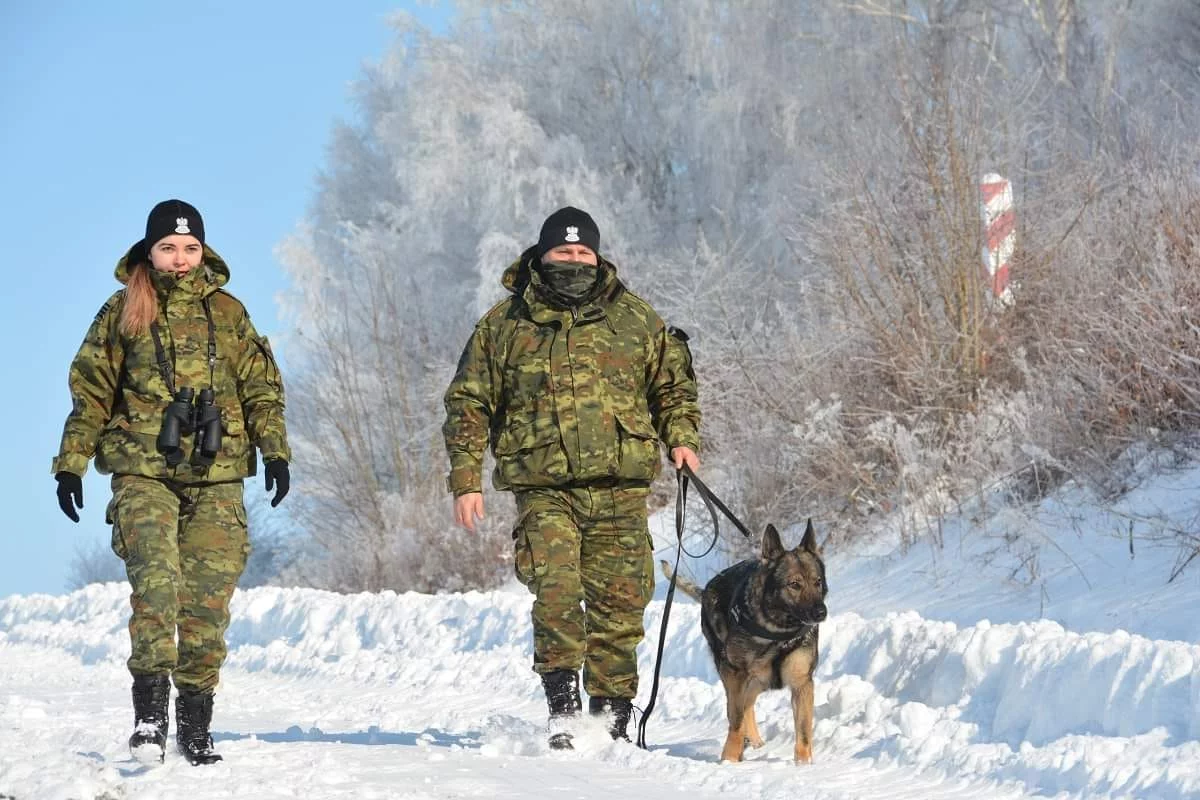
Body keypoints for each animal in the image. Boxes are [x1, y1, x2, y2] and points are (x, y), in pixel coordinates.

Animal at [662, 520, 830, 762]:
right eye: (794, 584)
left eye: (817, 582)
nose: (821, 612)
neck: (778, 631)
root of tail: (706, 590)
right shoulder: (736, 674)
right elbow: (736, 719)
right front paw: (730, 759)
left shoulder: (801, 683)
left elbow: (804, 731)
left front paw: (804, 764)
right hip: (737, 675)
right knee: (737, 709)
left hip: (760, 679)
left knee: (748, 703)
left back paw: (755, 741)